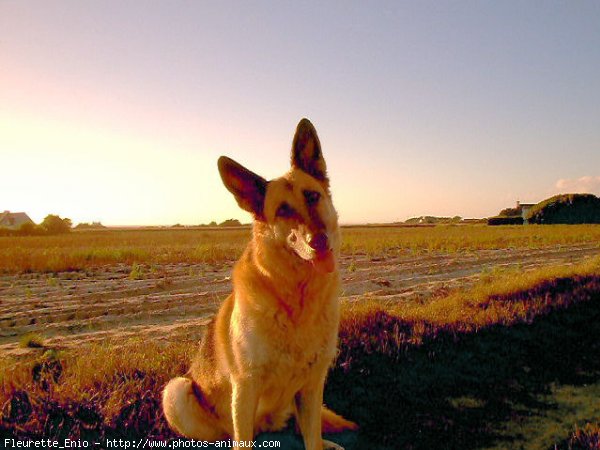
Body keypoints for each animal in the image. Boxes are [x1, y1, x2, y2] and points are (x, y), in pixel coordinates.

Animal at [162, 118, 356, 448]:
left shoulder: (312, 386)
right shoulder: (245, 388)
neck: (297, 298)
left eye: (312, 196)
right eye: (283, 210)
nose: (320, 242)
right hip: (176, 392)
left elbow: (312, 437)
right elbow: (244, 440)